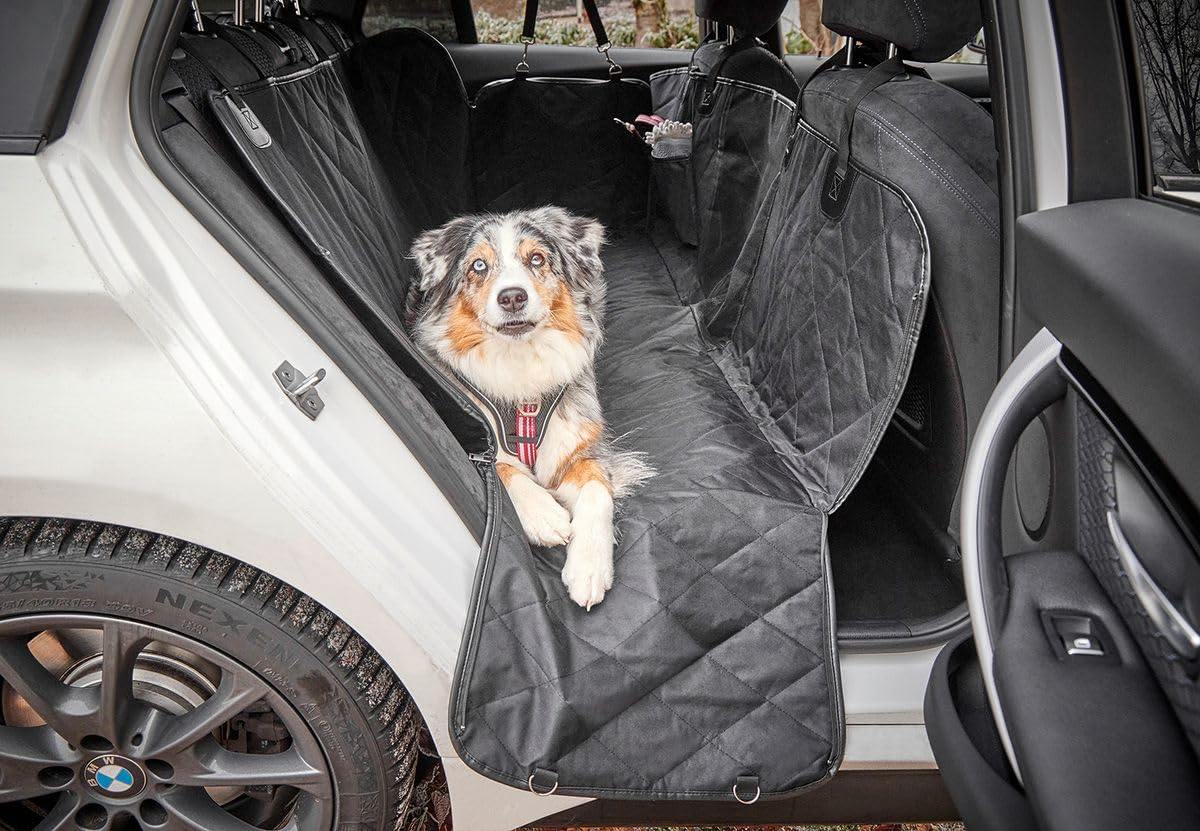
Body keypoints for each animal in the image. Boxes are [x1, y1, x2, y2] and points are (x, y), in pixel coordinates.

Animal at [405, 207, 652, 610]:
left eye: (537, 259)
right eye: (478, 265)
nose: (512, 298)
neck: (520, 366)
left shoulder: (578, 443)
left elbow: (598, 491)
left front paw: (589, 568)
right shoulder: (475, 430)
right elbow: (504, 468)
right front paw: (544, 515)